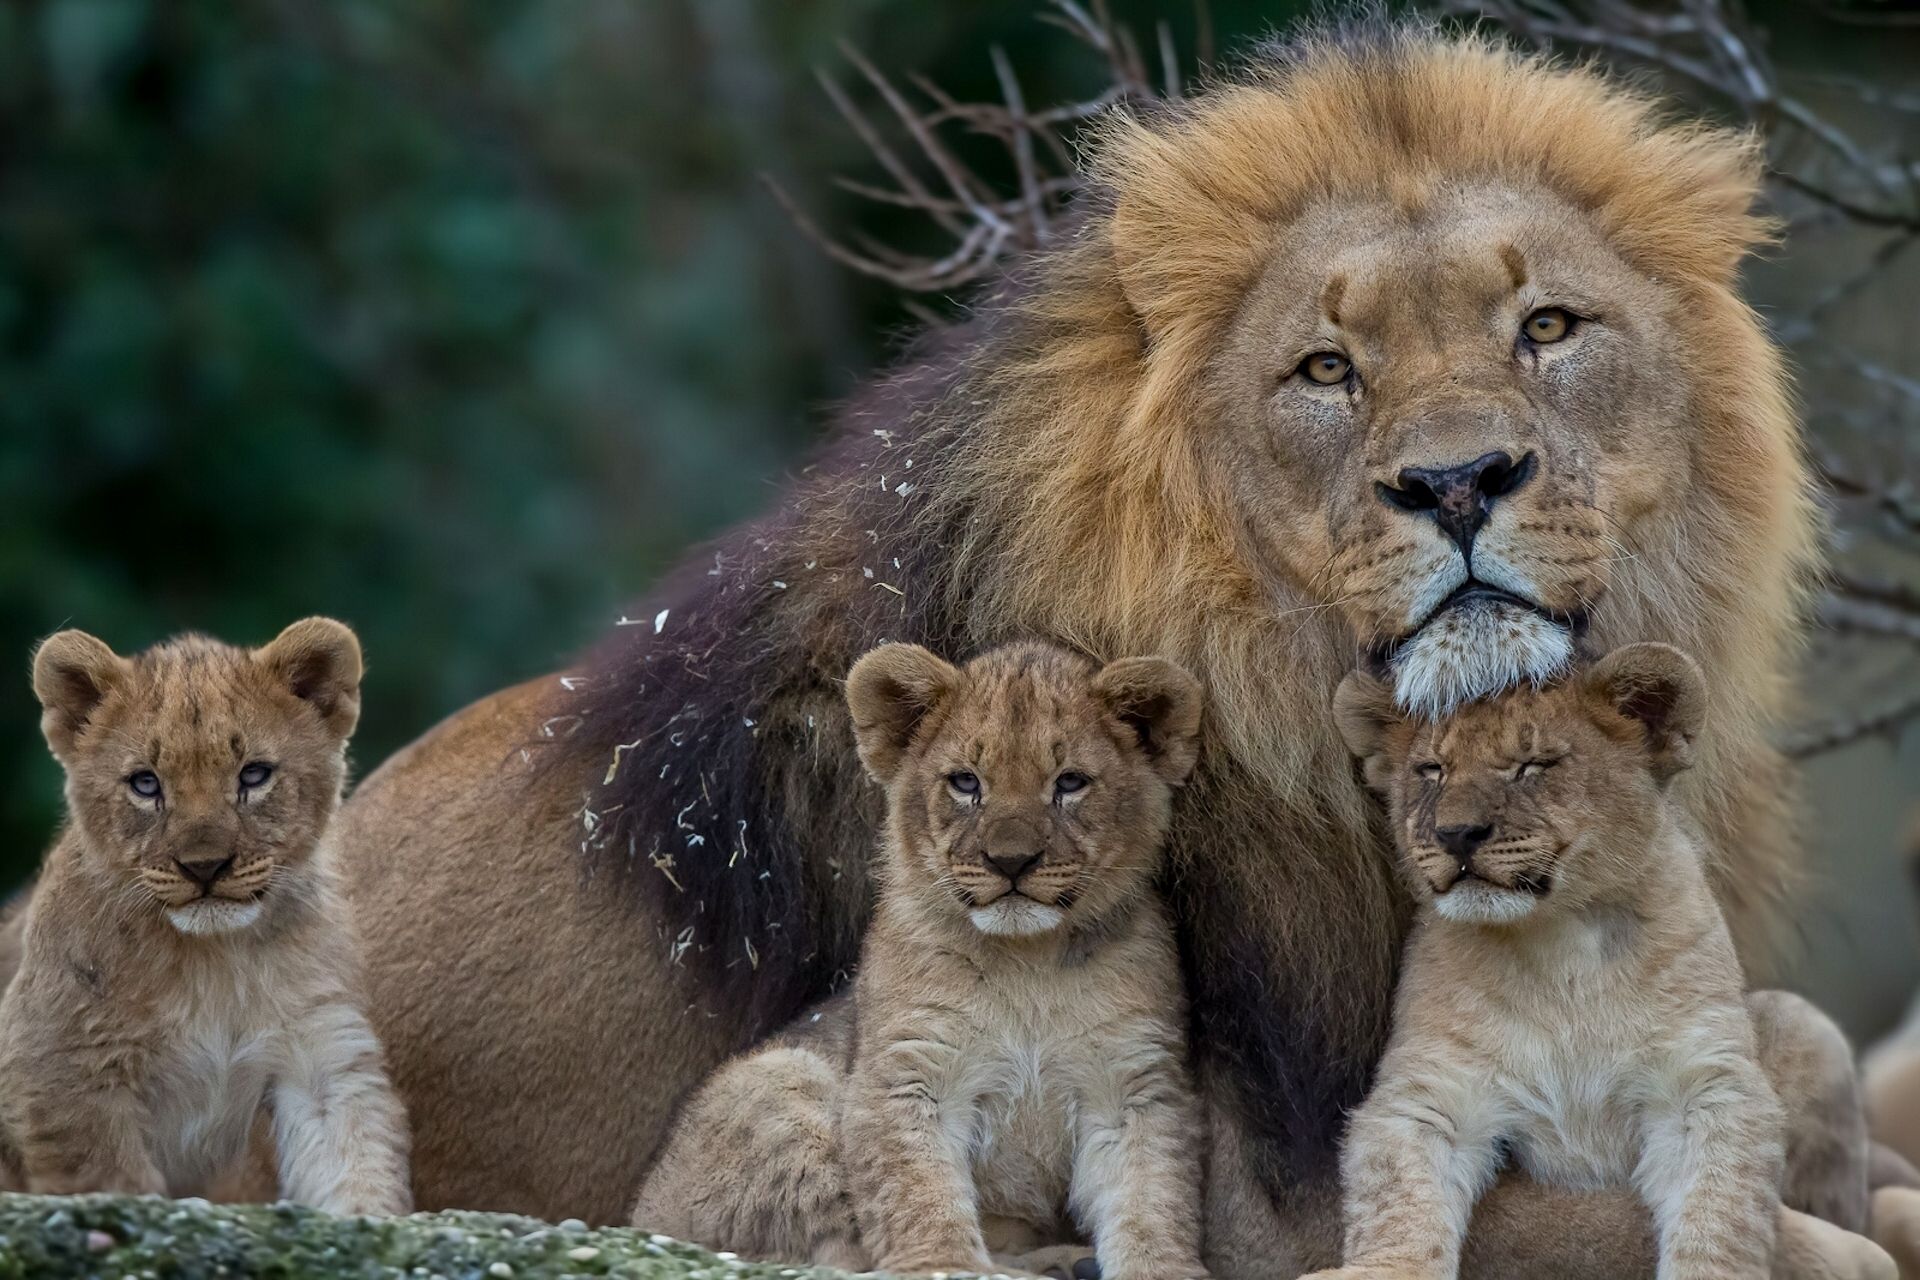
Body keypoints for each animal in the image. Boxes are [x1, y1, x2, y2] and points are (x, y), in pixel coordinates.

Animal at [0, 621, 410, 1216]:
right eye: (145, 783)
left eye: (254, 775)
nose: (204, 867)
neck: (215, 959)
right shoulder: (61, 1066)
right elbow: (112, 1176)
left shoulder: (320, 1046)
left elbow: (355, 1159)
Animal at [632, 641, 1208, 1280]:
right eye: (965, 782)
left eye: (1071, 782)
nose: (1011, 861)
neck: (1029, 963)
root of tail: (642, 1214)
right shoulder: (906, 1072)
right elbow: (915, 1189)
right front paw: (943, 1263)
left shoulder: (1134, 1085)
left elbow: (1151, 1195)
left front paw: (1162, 1268)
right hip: (781, 1077)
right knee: (831, 1250)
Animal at [1313, 646, 1889, 1280]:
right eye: (1431, 770)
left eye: (1533, 765)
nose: (1456, 834)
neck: (1560, 941)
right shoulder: (1430, 1092)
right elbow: (1399, 1199)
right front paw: (1386, 1268)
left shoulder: (1703, 1082)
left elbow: (1720, 1210)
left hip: (1804, 1027)